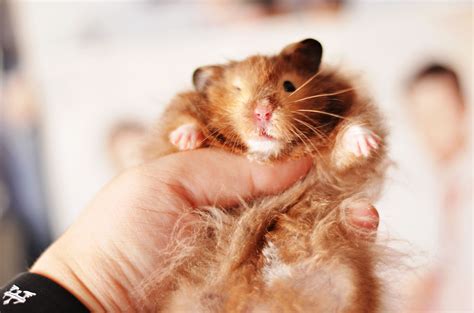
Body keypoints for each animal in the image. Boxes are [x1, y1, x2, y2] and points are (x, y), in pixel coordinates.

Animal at [143, 39, 388, 312]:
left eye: (289, 85)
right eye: (237, 89)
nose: (262, 113)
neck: (269, 155)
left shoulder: (331, 167)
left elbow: (347, 142)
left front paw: (369, 142)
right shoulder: (165, 142)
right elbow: (182, 128)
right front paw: (185, 138)